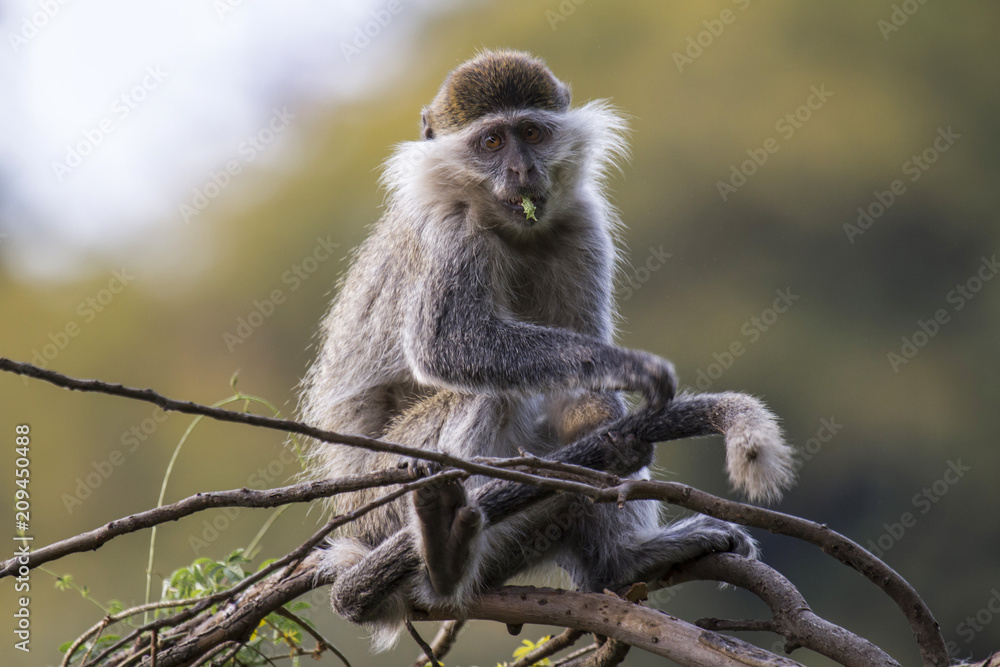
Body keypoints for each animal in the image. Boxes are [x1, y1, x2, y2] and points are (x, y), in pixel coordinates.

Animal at [298, 49, 795, 651]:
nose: (521, 171)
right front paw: (626, 368)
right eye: (491, 142)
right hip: (380, 501)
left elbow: (581, 389)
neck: (510, 228)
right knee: (483, 397)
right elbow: (449, 346)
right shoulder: (451, 229)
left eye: (532, 134)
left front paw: (614, 430)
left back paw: (620, 561)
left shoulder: (582, 224)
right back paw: (445, 558)